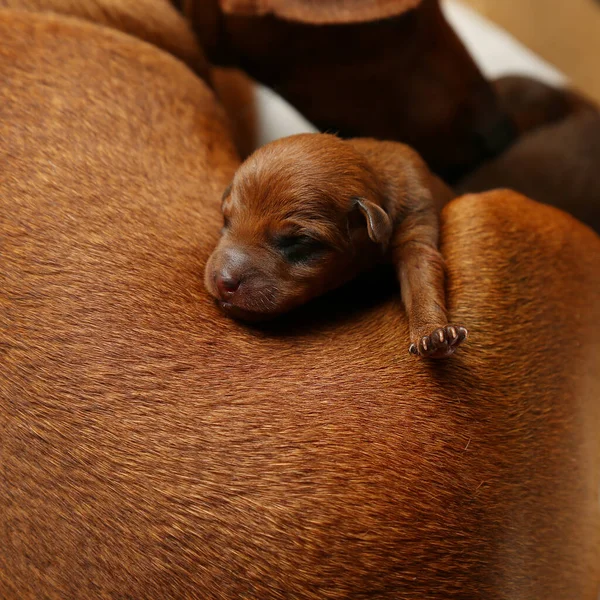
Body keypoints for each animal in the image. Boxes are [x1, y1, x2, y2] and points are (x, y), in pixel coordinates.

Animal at [206, 134, 468, 358]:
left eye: (298, 241)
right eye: (226, 220)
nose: (223, 282)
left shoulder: (415, 220)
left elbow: (421, 278)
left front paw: (433, 333)